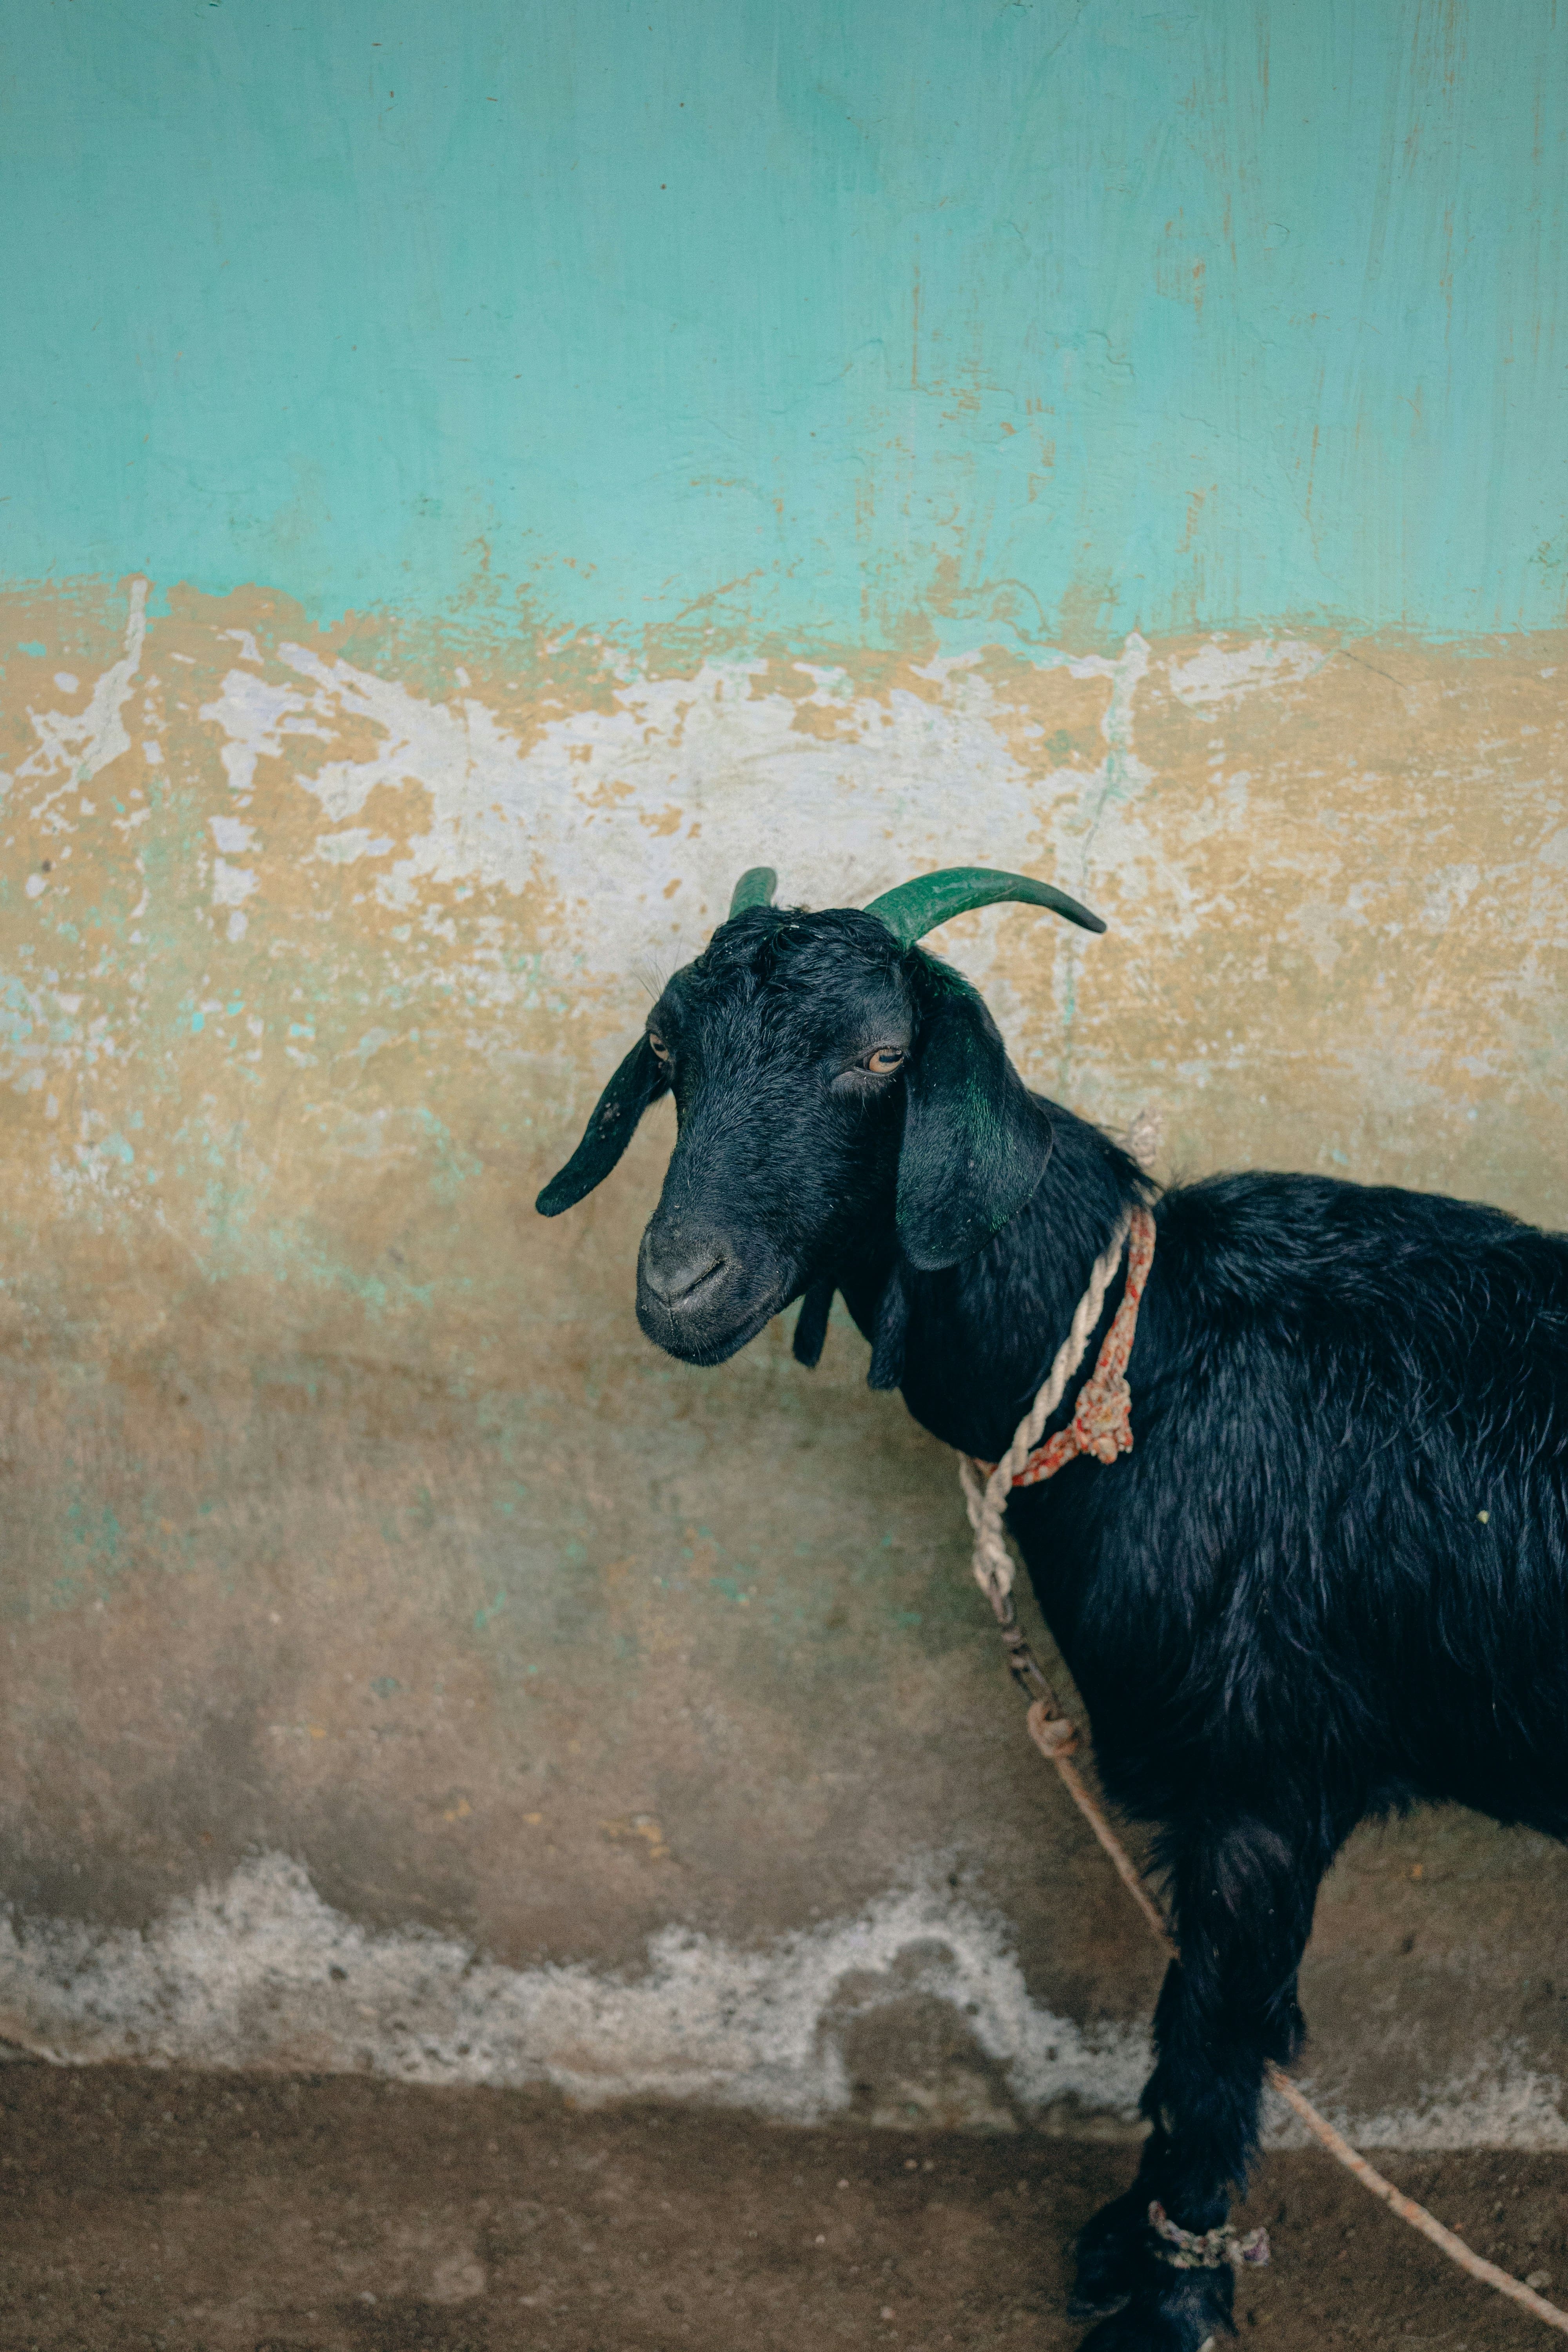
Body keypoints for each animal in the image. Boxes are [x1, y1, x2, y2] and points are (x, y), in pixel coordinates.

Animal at [538, 863, 1568, 2352]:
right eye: (669, 1052)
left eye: (882, 1056)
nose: (681, 1288)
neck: (1148, 1352)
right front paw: (1126, 2253)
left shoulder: (1263, 1770)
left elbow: (1210, 2041)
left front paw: (1169, 2297)